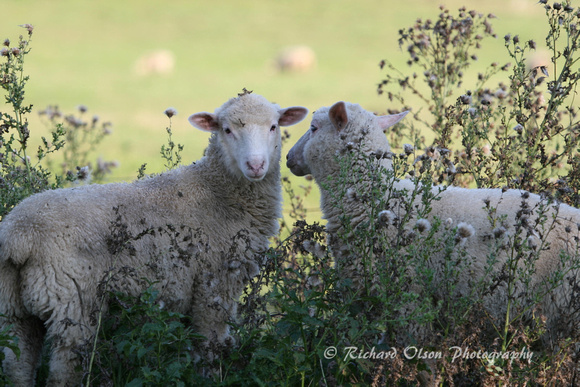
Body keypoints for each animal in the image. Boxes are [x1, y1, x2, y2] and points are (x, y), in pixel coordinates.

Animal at [0, 92, 310, 386]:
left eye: (273, 127)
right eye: (227, 130)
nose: (255, 165)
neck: (217, 191)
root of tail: (19, 234)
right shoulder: (214, 285)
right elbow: (210, 346)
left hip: (13, 311)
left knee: (17, 367)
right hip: (71, 305)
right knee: (63, 374)